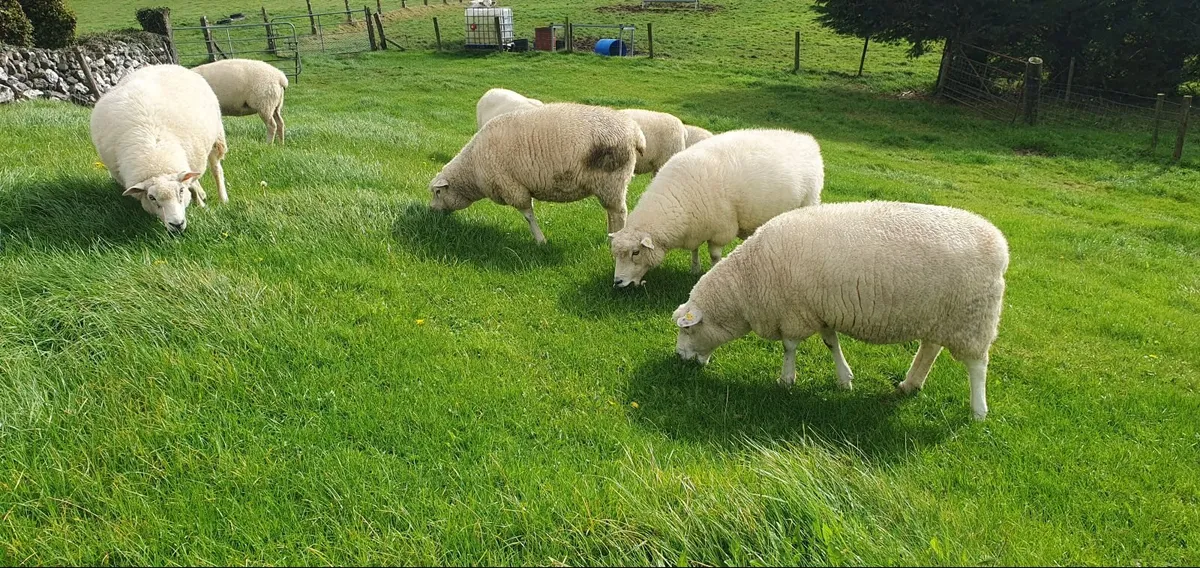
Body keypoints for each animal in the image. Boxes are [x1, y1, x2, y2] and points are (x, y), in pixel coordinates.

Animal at [90, 64, 228, 233]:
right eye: (151, 197)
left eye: (180, 191)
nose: (177, 224)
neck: (155, 158)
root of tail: (162, 65)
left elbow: (192, 187)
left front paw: (201, 206)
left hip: (216, 138)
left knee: (216, 170)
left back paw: (223, 198)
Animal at [429, 102, 645, 244]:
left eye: (438, 192)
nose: (431, 210)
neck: (472, 168)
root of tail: (635, 132)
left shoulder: (513, 188)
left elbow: (528, 216)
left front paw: (540, 240)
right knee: (611, 212)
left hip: (612, 180)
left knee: (619, 213)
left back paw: (613, 241)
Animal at [611, 129, 823, 287]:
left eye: (636, 252)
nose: (617, 282)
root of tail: (807, 140)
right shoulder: (696, 227)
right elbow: (694, 249)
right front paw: (694, 268)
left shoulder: (721, 230)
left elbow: (714, 255)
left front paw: (711, 272)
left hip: (809, 201)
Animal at [672, 201, 1010, 420]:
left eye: (689, 329)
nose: (678, 357)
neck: (747, 282)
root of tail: (1001, 247)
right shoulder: (820, 309)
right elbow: (830, 342)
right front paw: (844, 379)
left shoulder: (794, 311)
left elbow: (789, 347)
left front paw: (786, 379)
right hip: (941, 315)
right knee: (930, 349)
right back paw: (909, 384)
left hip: (973, 317)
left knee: (977, 365)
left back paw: (978, 411)